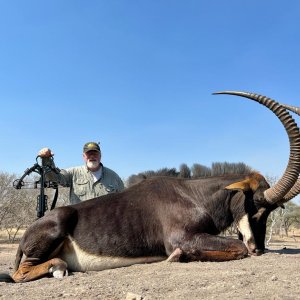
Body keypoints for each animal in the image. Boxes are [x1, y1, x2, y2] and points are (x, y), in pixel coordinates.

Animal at [1, 91, 298, 284]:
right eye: (257, 205)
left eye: (271, 211)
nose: (259, 248)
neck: (193, 195)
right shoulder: (181, 238)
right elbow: (237, 249)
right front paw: (179, 257)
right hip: (55, 228)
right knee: (20, 273)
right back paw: (58, 268)